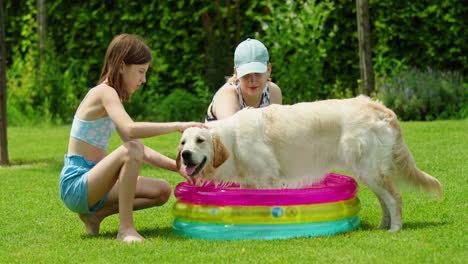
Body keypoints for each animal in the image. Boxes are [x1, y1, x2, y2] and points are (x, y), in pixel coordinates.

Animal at [176, 95, 442, 231]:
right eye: (183, 142)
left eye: (200, 141)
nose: (186, 155)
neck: (233, 141)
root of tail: (379, 107)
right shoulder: (249, 181)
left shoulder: (266, 178)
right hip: (368, 171)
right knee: (384, 199)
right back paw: (383, 226)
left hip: (369, 168)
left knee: (394, 198)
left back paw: (395, 229)